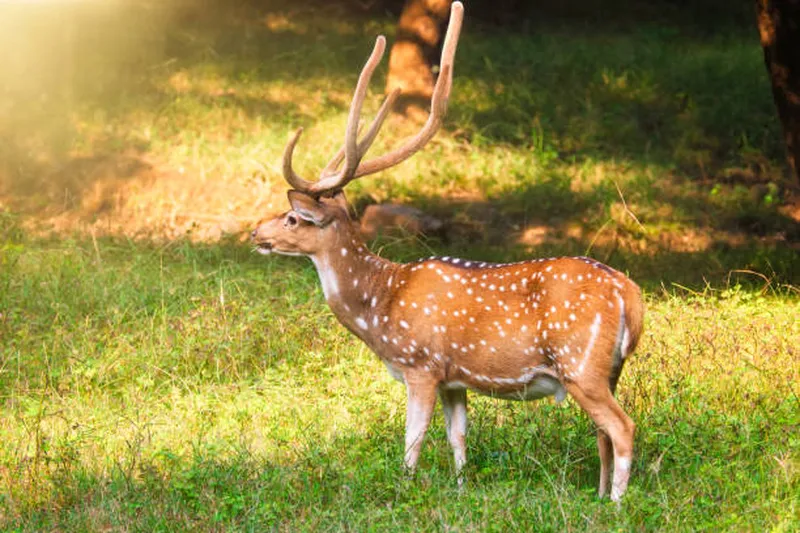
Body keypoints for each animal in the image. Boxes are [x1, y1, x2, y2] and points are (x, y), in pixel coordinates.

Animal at [253, 1, 648, 498]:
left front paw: (403, 488)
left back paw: (616, 502)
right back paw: (596, 496)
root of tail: (630, 295)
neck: (380, 304)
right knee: (603, 432)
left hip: (581, 363)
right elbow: (458, 436)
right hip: (609, 368)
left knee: (622, 427)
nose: (256, 233)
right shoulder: (454, 379)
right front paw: (461, 489)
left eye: (293, 218)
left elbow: (413, 438)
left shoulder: (420, 364)